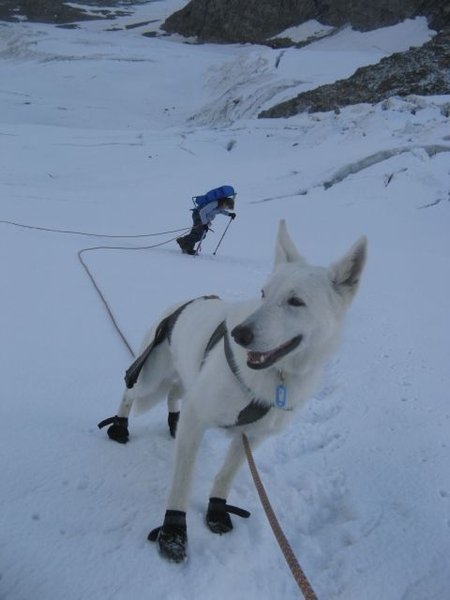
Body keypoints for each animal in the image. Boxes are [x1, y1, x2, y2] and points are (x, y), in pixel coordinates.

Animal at [97, 219, 366, 564]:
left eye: (296, 302)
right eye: (263, 293)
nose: (239, 334)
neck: (274, 377)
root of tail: (179, 305)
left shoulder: (252, 436)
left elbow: (225, 475)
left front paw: (216, 509)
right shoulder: (198, 418)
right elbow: (182, 483)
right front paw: (173, 531)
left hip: (185, 380)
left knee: (174, 397)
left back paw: (172, 422)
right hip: (151, 379)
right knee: (130, 391)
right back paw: (119, 425)